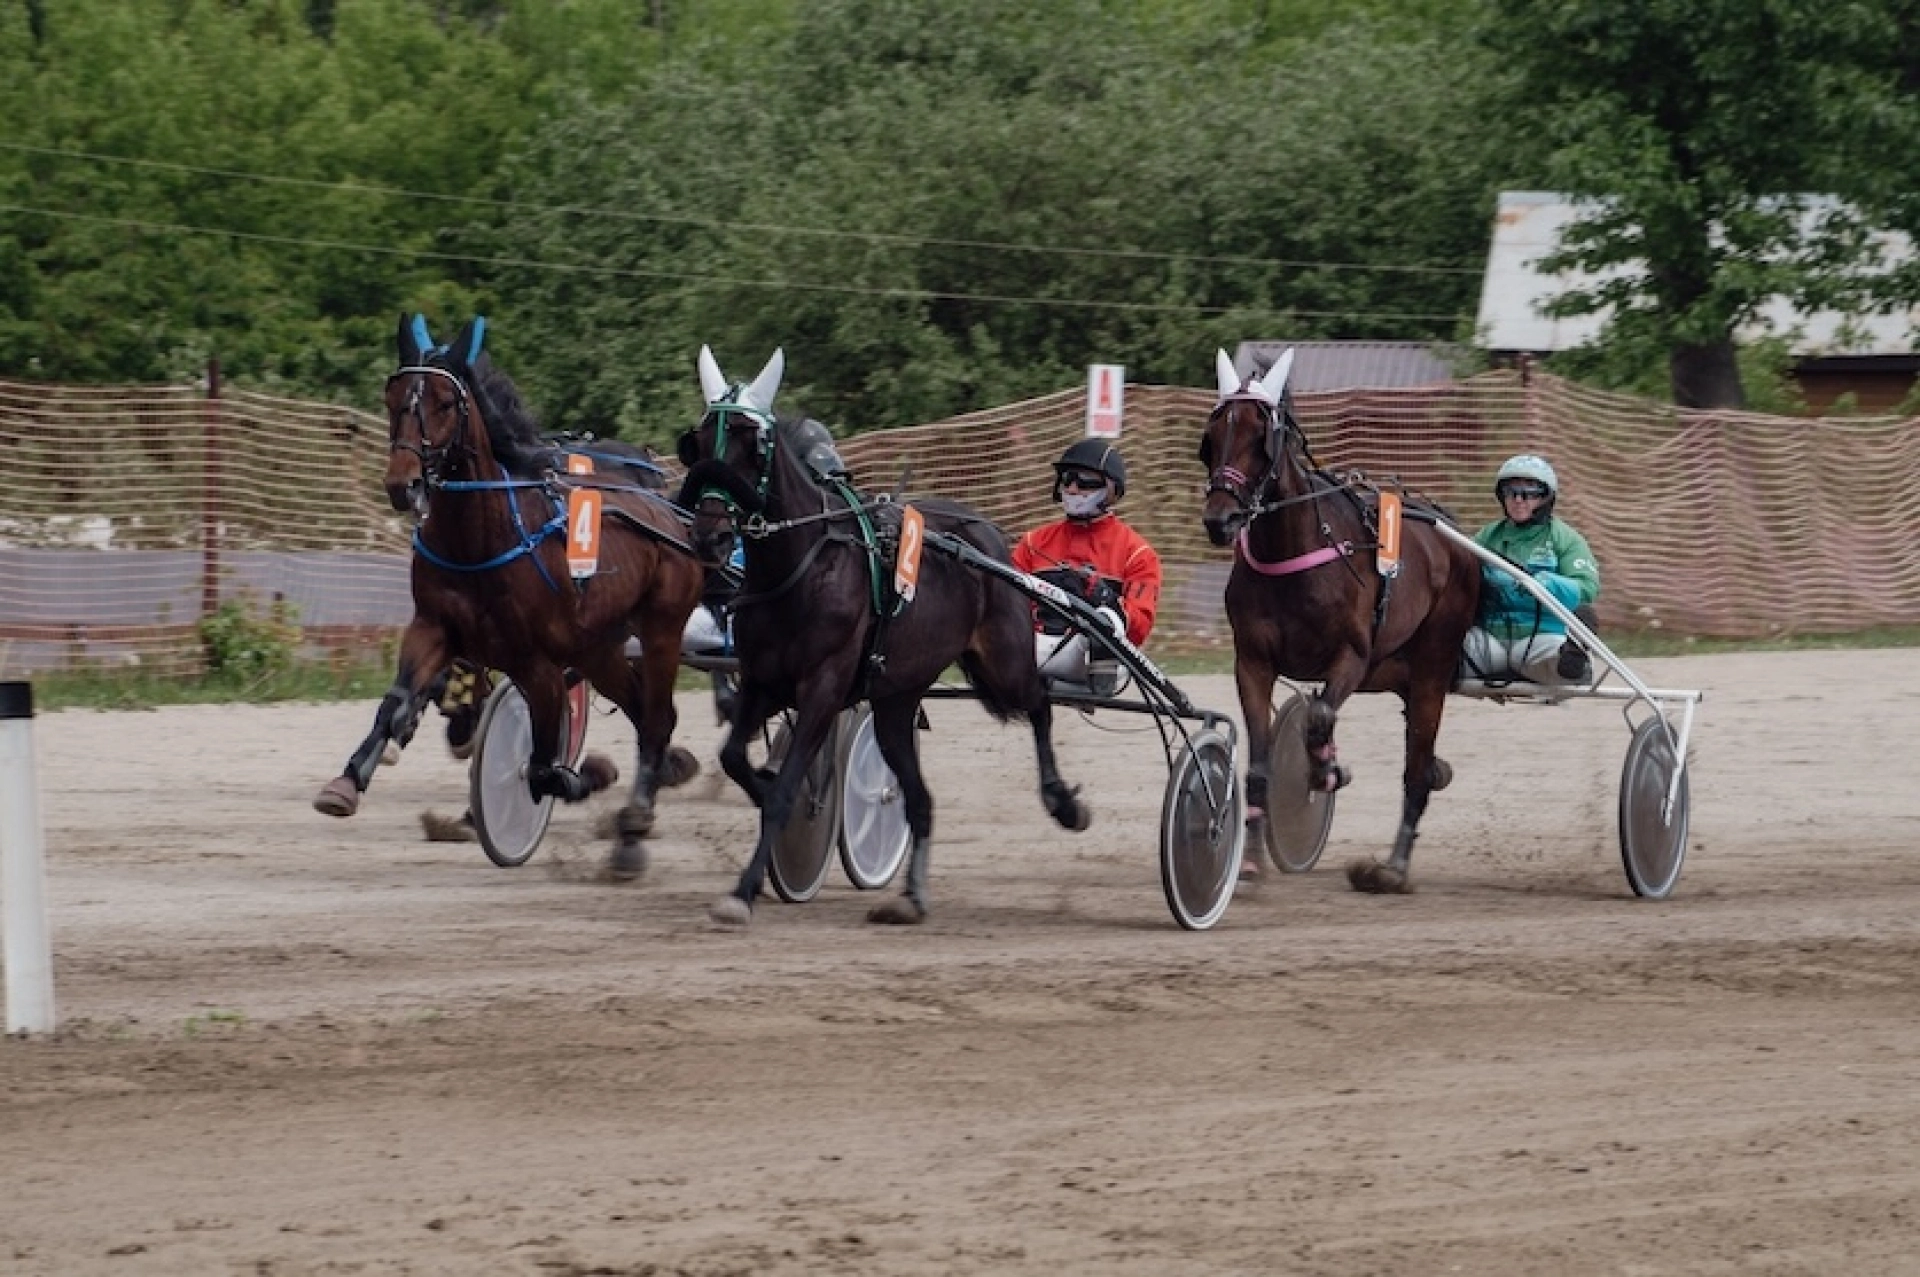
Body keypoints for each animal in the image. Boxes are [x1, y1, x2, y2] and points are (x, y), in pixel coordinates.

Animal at [683, 345, 1090, 925]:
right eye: (697, 441)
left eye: (750, 444)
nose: (711, 537)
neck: (804, 566)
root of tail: (988, 533)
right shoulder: (763, 681)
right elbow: (735, 758)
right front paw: (765, 796)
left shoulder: (823, 688)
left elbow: (783, 790)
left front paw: (743, 889)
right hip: (896, 700)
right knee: (920, 798)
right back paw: (912, 896)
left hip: (1004, 662)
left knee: (1039, 703)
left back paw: (1063, 802)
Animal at [1198, 343, 1482, 891]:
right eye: (1212, 438)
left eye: (1261, 438)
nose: (1220, 520)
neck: (1293, 552)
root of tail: (1452, 534)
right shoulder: (1253, 662)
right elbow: (1261, 764)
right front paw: (1251, 863)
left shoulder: (1351, 656)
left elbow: (1320, 716)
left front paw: (1325, 772)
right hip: (1397, 671)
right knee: (1420, 757)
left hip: (1433, 661)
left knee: (1416, 769)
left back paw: (1392, 868)